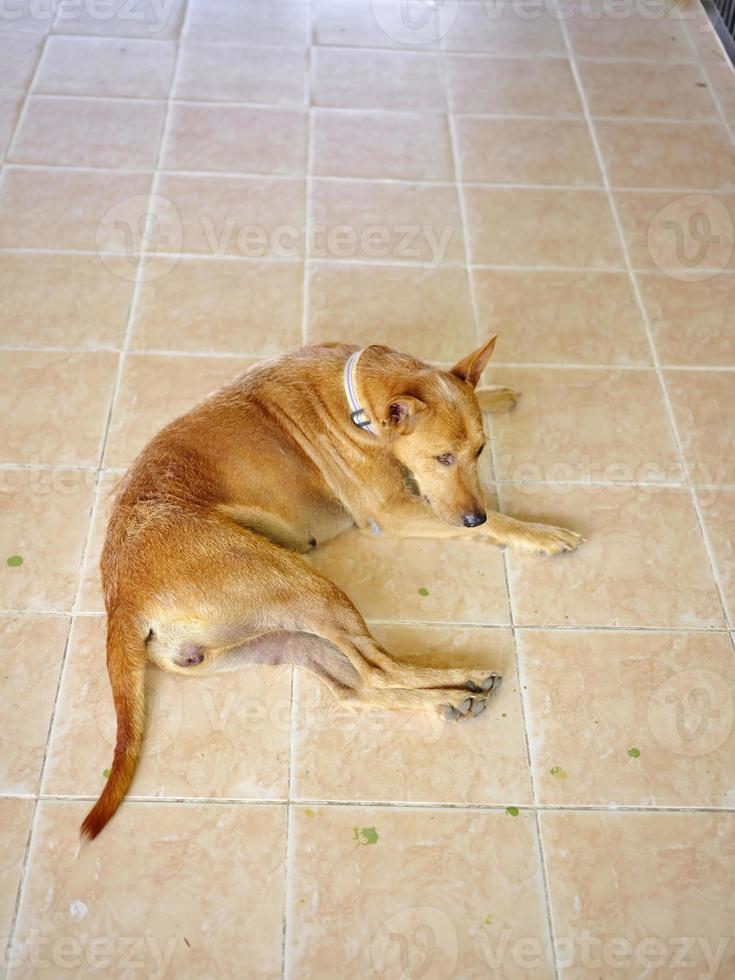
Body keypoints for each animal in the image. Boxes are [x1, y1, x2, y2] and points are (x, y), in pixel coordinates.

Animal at [83, 340, 584, 840]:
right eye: (442, 458)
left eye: (480, 451)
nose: (472, 518)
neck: (357, 396)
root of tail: (121, 597)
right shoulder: (391, 512)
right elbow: (498, 521)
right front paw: (540, 532)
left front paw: (495, 394)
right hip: (306, 586)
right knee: (376, 667)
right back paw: (461, 684)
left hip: (276, 639)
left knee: (352, 686)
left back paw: (445, 698)